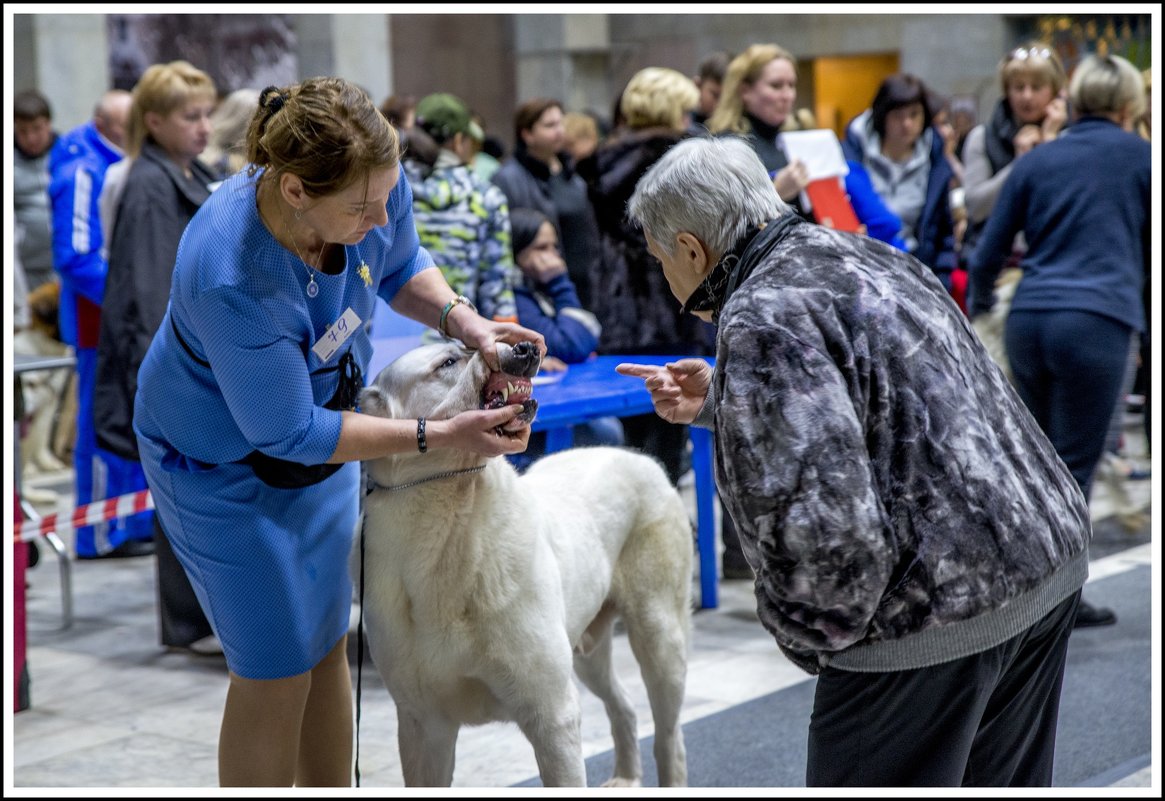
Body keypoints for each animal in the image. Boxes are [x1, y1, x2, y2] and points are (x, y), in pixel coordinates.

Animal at [356, 339, 689, 787]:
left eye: (468, 345)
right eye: (447, 362)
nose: (525, 347)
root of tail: (638, 455)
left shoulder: (552, 713)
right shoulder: (422, 725)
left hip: (659, 636)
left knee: (669, 736)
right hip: (585, 651)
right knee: (623, 705)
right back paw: (625, 777)